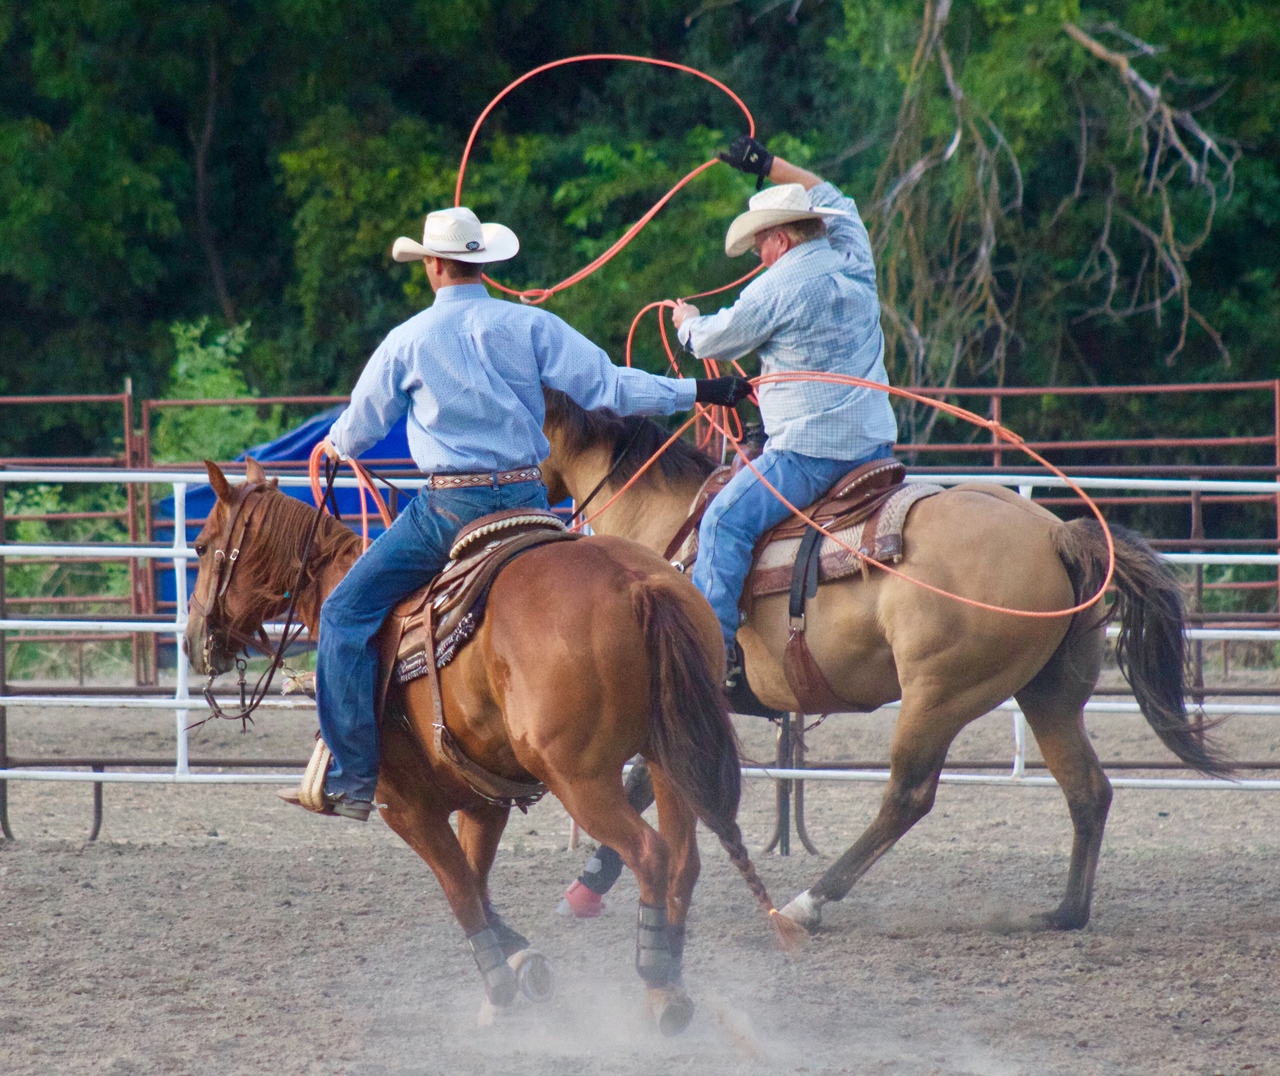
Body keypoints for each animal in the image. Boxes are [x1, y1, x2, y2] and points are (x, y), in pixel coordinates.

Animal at [185, 458, 798, 1028]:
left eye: (201, 545)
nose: (193, 642)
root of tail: (636, 583)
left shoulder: (404, 808)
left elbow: (458, 890)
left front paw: (500, 989)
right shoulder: (485, 801)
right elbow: (477, 883)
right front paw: (522, 963)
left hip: (580, 778)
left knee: (649, 853)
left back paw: (657, 987)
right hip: (669, 756)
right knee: (683, 862)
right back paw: (670, 980)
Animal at [540, 391, 1228, 936]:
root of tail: (1056, 534)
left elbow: (643, 780)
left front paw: (590, 882)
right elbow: (646, 781)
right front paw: (590, 884)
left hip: (939, 694)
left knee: (908, 796)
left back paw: (808, 904)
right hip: (1049, 694)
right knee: (1087, 790)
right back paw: (1063, 913)